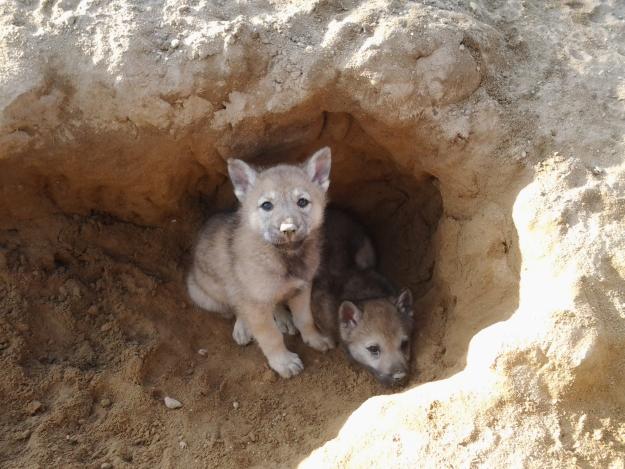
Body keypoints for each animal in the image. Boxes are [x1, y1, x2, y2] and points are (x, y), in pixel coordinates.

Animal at [188, 148, 334, 378]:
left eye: (302, 202)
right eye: (267, 205)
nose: (288, 229)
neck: (284, 257)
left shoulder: (302, 288)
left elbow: (305, 319)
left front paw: (315, 339)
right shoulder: (255, 303)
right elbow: (271, 336)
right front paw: (283, 362)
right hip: (206, 294)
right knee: (236, 307)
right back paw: (243, 327)